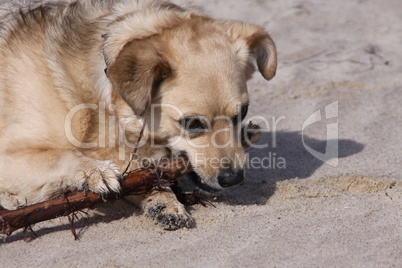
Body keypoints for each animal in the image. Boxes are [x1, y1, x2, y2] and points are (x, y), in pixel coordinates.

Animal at [0, 0, 276, 230]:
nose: (233, 179)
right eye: (192, 123)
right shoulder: (10, 155)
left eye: (244, 111)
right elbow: (60, 156)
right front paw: (93, 171)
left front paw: (162, 201)